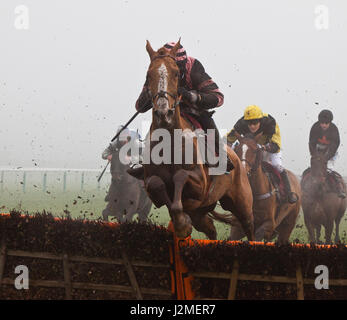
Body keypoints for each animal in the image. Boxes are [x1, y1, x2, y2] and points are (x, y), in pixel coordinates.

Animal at [139, 40, 256, 240]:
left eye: (175, 73)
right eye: (148, 75)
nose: (164, 112)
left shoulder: (199, 186)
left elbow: (181, 175)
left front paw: (181, 224)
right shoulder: (153, 188)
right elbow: (158, 185)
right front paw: (181, 224)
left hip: (242, 202)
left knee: (249, 227)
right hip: (200, 213)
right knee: (210, 229)